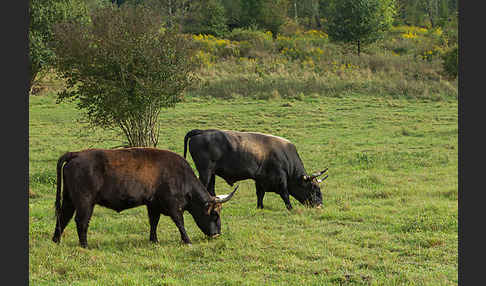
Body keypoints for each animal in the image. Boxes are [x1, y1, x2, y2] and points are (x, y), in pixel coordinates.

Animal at [184, 130, 328, 210]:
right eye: (314, 188)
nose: (320, 205)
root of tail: (202, 131)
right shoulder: (281, 179)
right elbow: (285, 194)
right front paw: (290, 208)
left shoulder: (260, 179)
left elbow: (260, 194)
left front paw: (260, 207)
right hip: (205, 172)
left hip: (212, 173)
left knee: (211, 190)